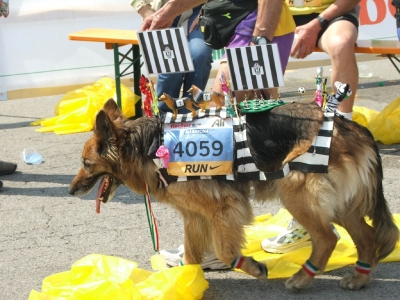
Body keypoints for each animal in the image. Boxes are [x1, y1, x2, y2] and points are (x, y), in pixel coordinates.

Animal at [70, 99, 398, 292]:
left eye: (86, 164)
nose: (72, 190)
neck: (148, 147)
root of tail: (350, 125)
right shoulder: (195, 216)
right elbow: (191, 256)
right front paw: (185, 283)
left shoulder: (225, 208)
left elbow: (226, 250)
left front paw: (252, 267)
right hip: (338, 203)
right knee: (365, 236)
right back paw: (360, 277)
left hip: (295, 190)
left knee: (328, 238)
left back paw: (304, 278)